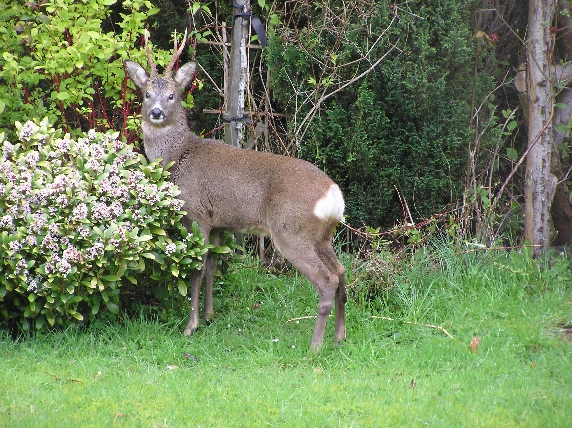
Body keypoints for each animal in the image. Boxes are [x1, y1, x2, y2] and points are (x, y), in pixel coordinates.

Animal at [125, 30, 346, 352]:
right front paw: (209, 316)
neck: (177, 156)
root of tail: (334, 195)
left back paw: (315, 346)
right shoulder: (220, 222)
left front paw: (191, 326)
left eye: (172, 95)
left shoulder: (197, 213)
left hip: (291, 229)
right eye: (146, 93)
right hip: (322, 235)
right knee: (341, 272)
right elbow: (212, 267)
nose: (155, 112)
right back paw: (340, 336)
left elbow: (196, 269)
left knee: (327, 278)